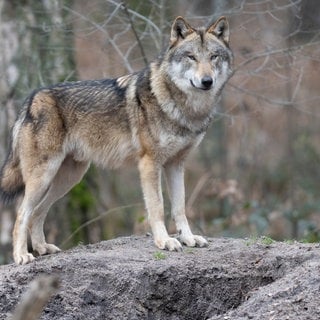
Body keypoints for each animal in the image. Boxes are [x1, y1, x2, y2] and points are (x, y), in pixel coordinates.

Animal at [0, 16, 232, 264]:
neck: (185, 108)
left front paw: (188, 238)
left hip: (68, 178)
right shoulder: (150, 163)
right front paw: (165, 241)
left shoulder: (176, 165)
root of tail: (31, 99)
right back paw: (21, 256)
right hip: (44, 177)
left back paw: (43, 248)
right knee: (22, 214)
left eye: (213, 56)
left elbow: (180, 208)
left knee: (37, 212)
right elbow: (158, 207)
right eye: (191, 57)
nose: (207, 81)